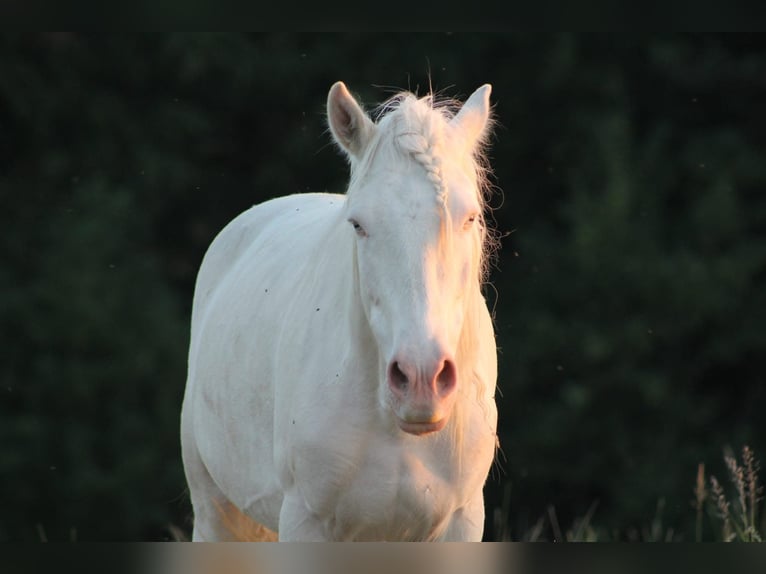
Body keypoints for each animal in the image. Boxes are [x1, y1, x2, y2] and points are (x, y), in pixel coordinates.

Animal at [182, 81, 500, 544]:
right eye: (359, 225)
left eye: (470, 218)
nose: (421, 378)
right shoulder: (305, 521)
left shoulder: (461, 522)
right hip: (215, 512)